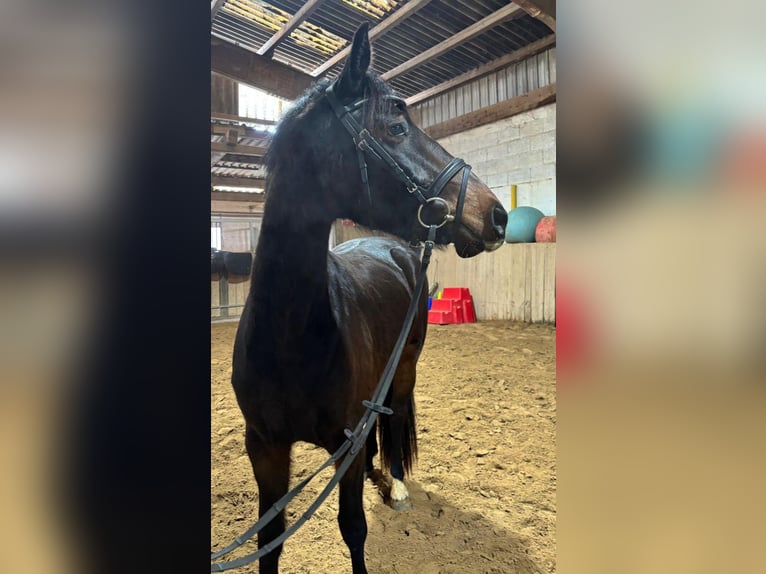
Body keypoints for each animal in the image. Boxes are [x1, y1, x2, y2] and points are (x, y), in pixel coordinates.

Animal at [228, 22, 507, 574]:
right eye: (396, 128)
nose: (497, 214)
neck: (289, 334)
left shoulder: (347, 446)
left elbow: (353, 528)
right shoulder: (264, 448)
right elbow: (269, 539)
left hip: (405, 367)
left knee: (394, 416)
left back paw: (395, 484)